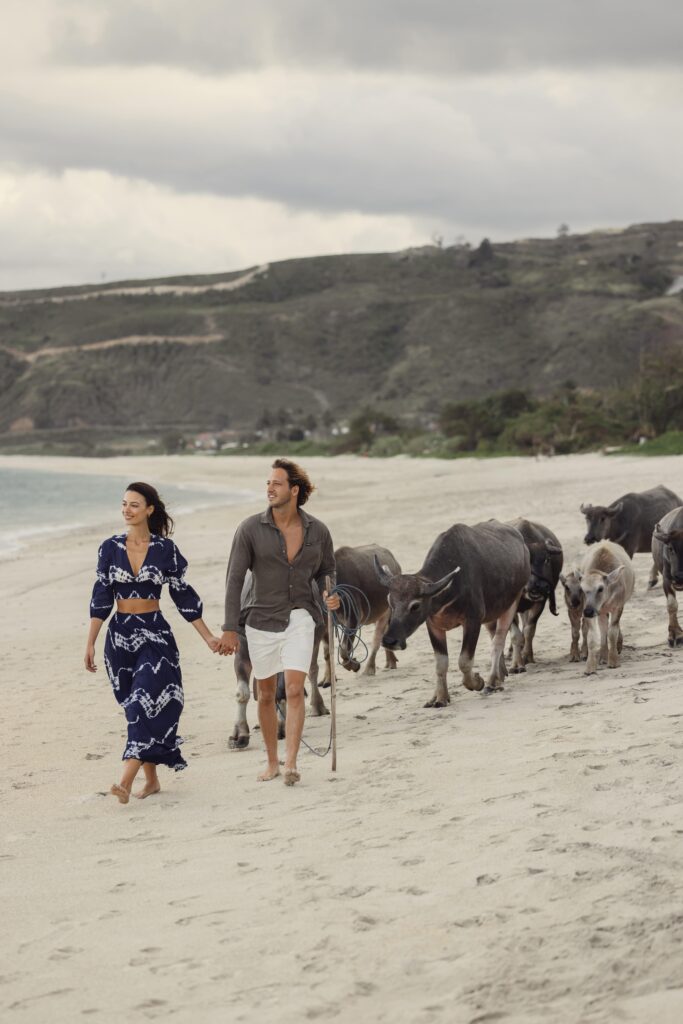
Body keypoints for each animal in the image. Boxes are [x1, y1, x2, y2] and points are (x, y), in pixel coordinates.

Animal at [376, 524, 532, 708]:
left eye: (415, 606)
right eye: (389, 601)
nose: (389, 641)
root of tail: (521, 542)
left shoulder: (473, 621)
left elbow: (464, 661)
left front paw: (477, 682)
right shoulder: (433, 625)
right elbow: (441, 663)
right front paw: (440, 697)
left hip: (511, 603)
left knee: (499, 641)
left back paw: (492, 681)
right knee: (494, 636)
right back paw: (500, 675)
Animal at [505, 520, 565, 671]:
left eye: (547, 559)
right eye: (525, 561)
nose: (541, 586)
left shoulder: (540, 602)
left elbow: (529, 631)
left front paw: (527, 657)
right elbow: (515, 635)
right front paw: (516, 665)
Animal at [581, 540, 634, 675]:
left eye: (600, 588)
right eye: (582, 589)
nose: (588, 611)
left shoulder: (618, 607)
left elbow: (612, 632)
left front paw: (614, 661)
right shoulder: (594, 611)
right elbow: (593, 636)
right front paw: (590, 666)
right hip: (601, 613)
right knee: (603, 629)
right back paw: (603, 656)